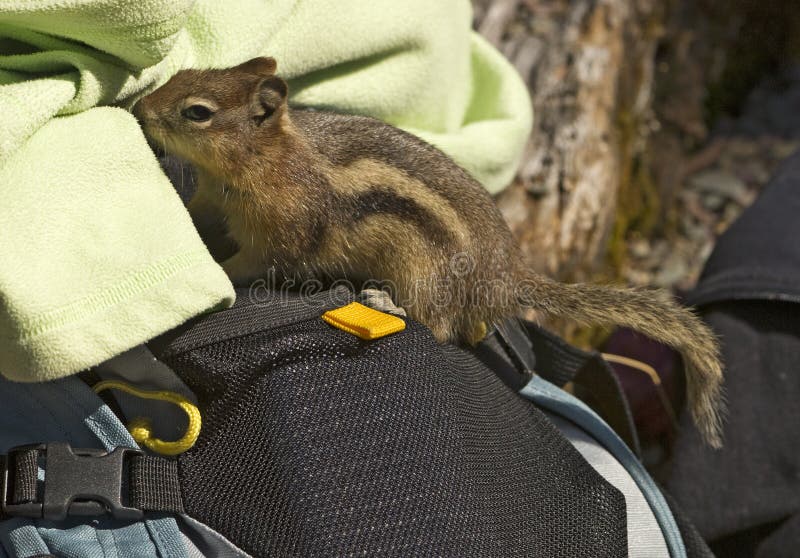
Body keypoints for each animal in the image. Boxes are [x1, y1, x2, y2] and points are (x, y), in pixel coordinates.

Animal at [133, 57, 724, 448]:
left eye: (197, 112)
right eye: (180, 75)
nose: (139, 107)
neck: (264, 158)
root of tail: (505, 278)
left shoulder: (280, 235)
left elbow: (254, 264)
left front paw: (215, 273)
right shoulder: (213, 201)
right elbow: (200, 216)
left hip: (425, 272)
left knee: (439, 326)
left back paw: (385, 302)